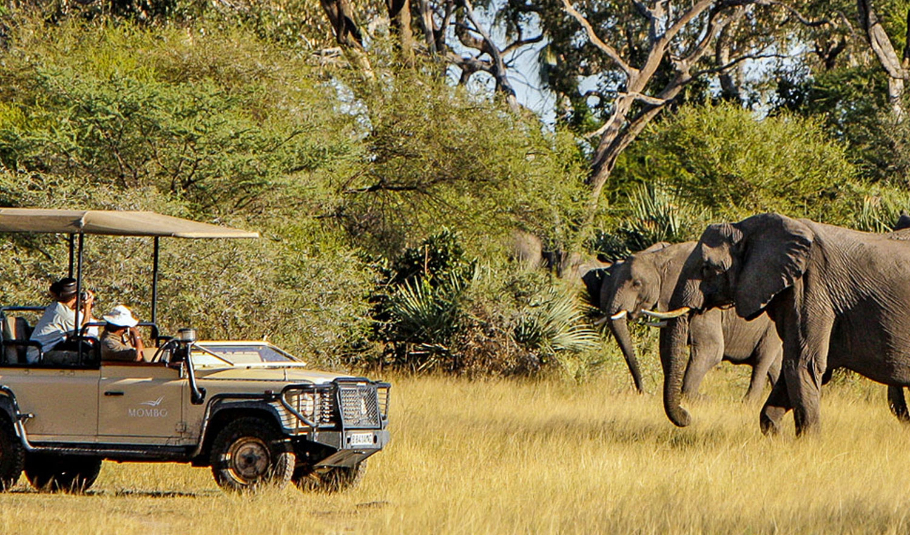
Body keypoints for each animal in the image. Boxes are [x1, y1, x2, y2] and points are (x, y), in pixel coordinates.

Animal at [584, 241, 784, 400]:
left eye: (637, 284)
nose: (642, 391)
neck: (659, 258)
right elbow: (665, 349)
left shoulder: (705, 303)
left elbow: (711, 349)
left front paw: (697, 399)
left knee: (762, 361)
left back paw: (747, 403)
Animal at [656, 211, 910, 438]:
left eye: (707, 268)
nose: (688, 416)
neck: (749, 229)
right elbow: (796, 369)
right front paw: (776, 435)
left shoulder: (812, 288)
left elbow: (802, 363)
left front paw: (808, 444)